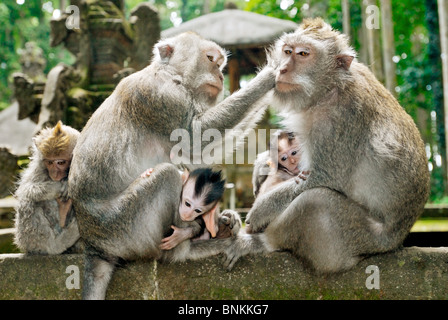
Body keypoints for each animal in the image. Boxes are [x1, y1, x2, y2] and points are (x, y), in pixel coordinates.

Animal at [13, 121, 82, 254]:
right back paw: (55, 246)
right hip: (28, 241)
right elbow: (26, 189)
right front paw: (60, 186)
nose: (54, 173)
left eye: (60, 162)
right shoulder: (39, 167)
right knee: (28, 201)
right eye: (49, 162)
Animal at [68, 32, 274, 300]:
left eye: (220, 65)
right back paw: (186, 247)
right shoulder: (159, 97)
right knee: (167, 176)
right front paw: (273, 72)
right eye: (210, 59)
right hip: (122, 228)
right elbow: (194, 137)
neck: (172, 76)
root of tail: (94, 244)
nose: (220, 76)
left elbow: (197, 155)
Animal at [220, 17, 430, 272]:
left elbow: (326, 177)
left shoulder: (341, 120)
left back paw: (258, 241)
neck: (330, 88)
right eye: (287, 51)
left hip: (361, 239)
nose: (282, 68)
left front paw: (262, 209)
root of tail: (397, 240)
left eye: (303, 54)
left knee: (314, 201)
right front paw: (263, 162)